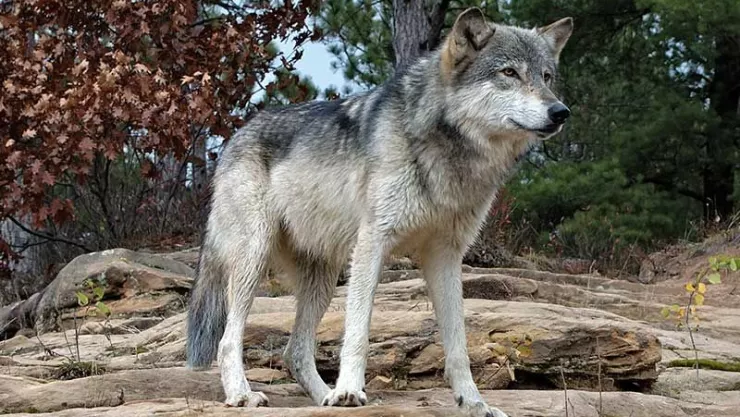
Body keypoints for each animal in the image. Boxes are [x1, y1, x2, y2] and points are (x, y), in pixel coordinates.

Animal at [185, 8, 573, 417]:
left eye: (546, 77)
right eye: (509, 72)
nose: (560, 111)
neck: (446, 150)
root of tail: (234, 138)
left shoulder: (446, 256)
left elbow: (458, 345)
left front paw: (474, 403)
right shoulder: (373, 242)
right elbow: (358, 330)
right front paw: (350, 391)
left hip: (324, 279)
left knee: (295, 351)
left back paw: (323, 397)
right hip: (255, 259)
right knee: (229, 339)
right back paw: (245, 395)